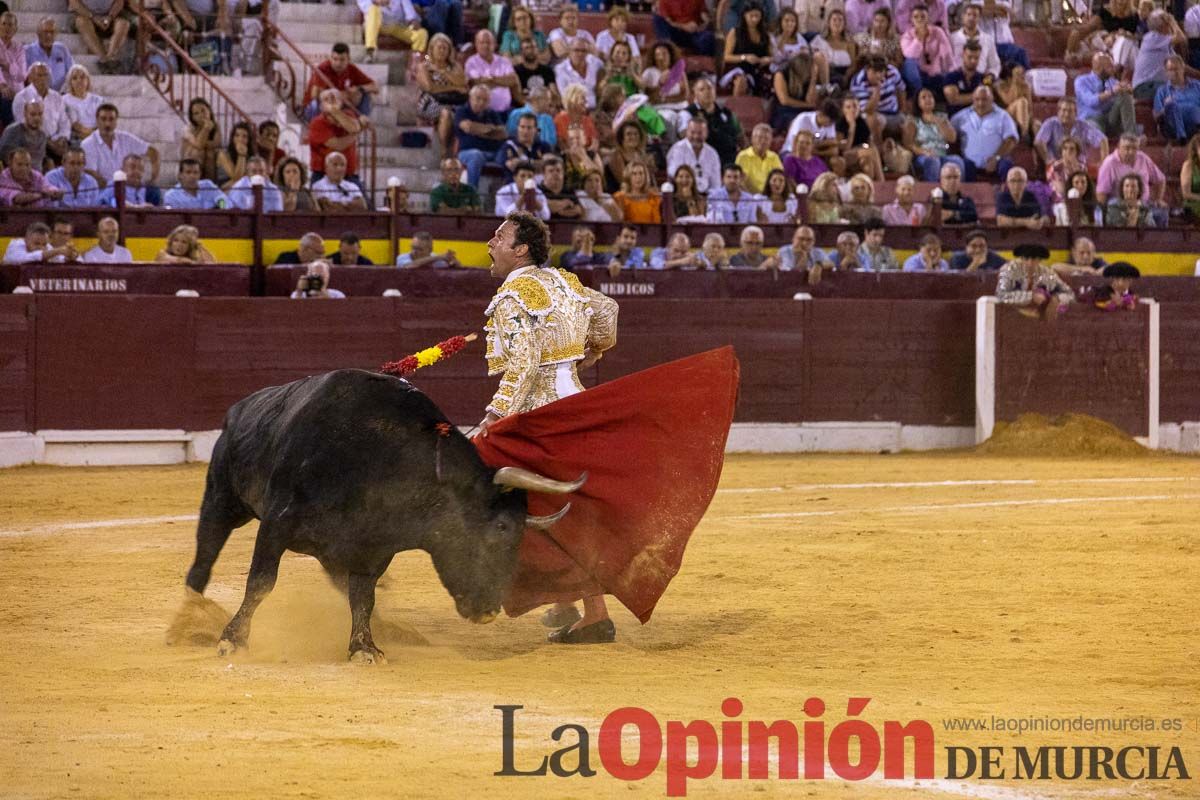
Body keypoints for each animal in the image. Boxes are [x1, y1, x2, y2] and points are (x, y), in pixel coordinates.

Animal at [181, 369, 585, 662]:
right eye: (501, 527)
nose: (489, 611)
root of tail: (240, 408)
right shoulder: (277, 525)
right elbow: (261, 583)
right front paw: (233, 640)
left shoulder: (371, 549)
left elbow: (363, 596)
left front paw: (364, 647)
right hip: (223, 500)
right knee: (204, 556)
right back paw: (188, 620)